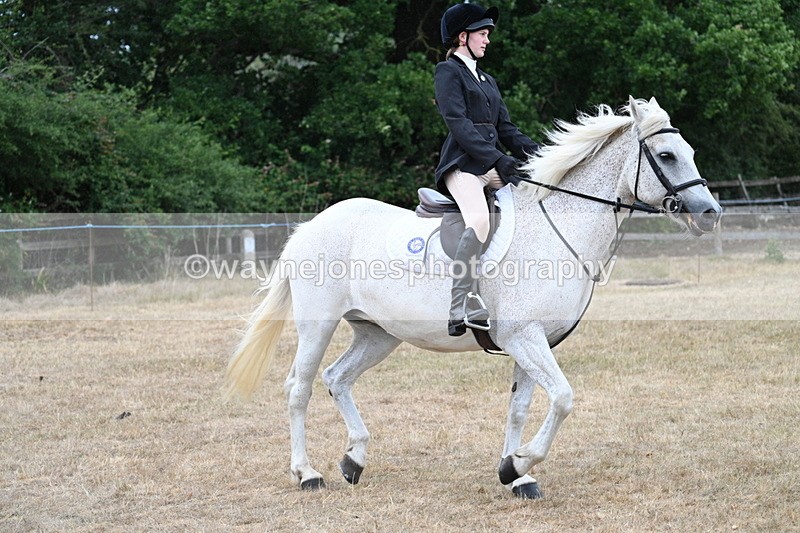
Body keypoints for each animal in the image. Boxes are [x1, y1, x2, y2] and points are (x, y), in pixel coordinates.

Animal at [224, 96, 722, 499]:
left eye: (691, 153)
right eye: (666, 155)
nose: (710, 214)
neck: (559, 228)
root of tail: (312, 225)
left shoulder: (534, 341)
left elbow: (521, 407)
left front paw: (517, 476)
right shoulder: (523, 336)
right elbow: (563, 397)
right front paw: (517, 465)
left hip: (378, 333)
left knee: (338, 378)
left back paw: (354, 460)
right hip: (318, 324)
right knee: (300, 387)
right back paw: (307, 473)